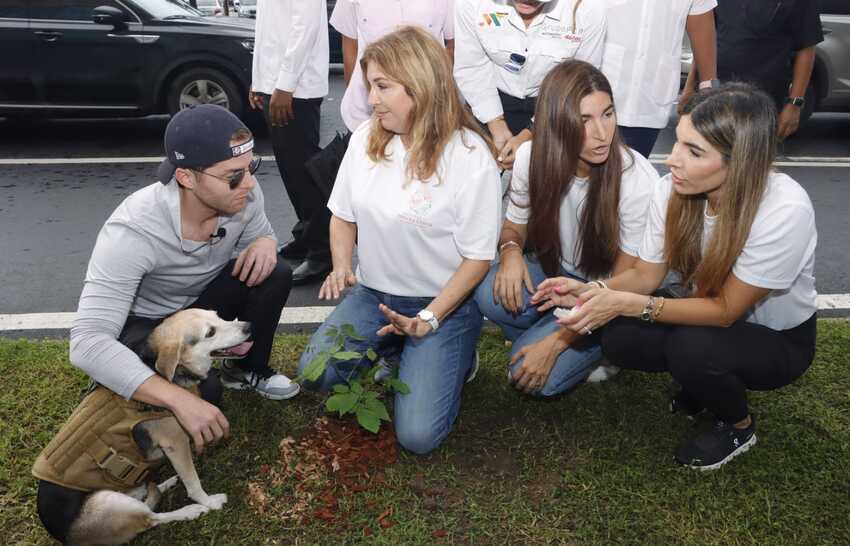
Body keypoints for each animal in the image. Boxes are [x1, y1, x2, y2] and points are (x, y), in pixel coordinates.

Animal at [33, 309, 252, 546]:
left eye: (219, 316)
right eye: (210, 332)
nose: (249, 326)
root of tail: (63, 536)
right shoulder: (176, 444)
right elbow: (193, 483)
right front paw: (209, 502)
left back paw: (164, 483)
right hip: (109, 500)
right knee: (150, 519)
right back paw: (190, 510)